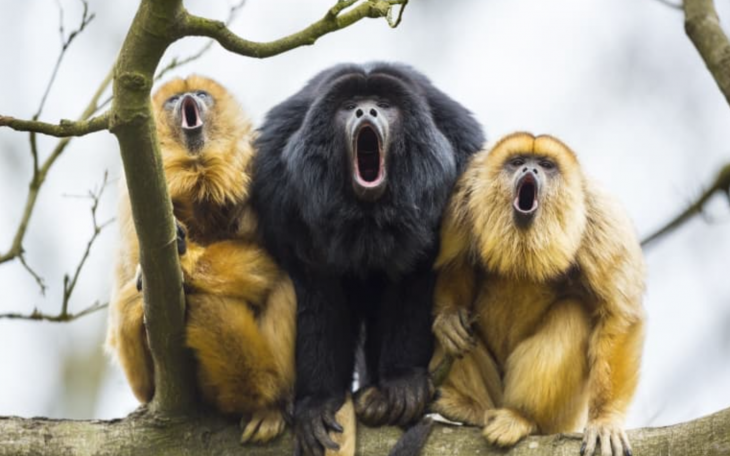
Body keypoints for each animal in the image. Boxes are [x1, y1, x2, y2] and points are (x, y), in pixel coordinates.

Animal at [430, 132, 645, 456]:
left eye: (545, 165)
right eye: (518, 162)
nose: (529, 170)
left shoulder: (602, 219)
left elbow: (619, 315)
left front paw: (605, 420)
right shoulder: (462, 196)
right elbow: (454, 265)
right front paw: (449, 318)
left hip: (562, 417)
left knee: (573, 313)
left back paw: (522, 417)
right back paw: (470, 408)